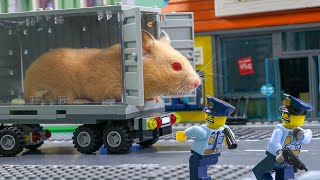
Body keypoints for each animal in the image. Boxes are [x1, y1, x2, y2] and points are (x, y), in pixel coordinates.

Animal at [23, 29, 201, 102]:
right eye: (176, 66)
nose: (198, 83)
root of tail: (27, 90)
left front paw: (156, 98)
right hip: (63, 90)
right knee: (66, 101)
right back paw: (83, 101)